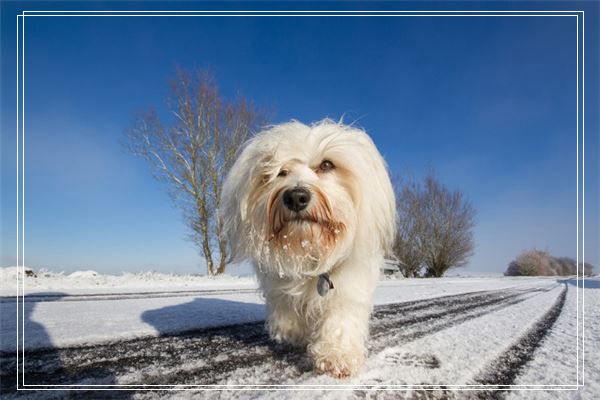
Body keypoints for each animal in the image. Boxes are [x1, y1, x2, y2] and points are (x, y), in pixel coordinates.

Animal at [220, 119, 394, 378]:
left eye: (327, 164)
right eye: (279, 172)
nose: (295, 197)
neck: (310, 249)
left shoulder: (348, 284)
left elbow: (341, 318)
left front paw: (337, 357)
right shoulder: (278, 283)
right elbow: (286, 307)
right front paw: (293, 331)